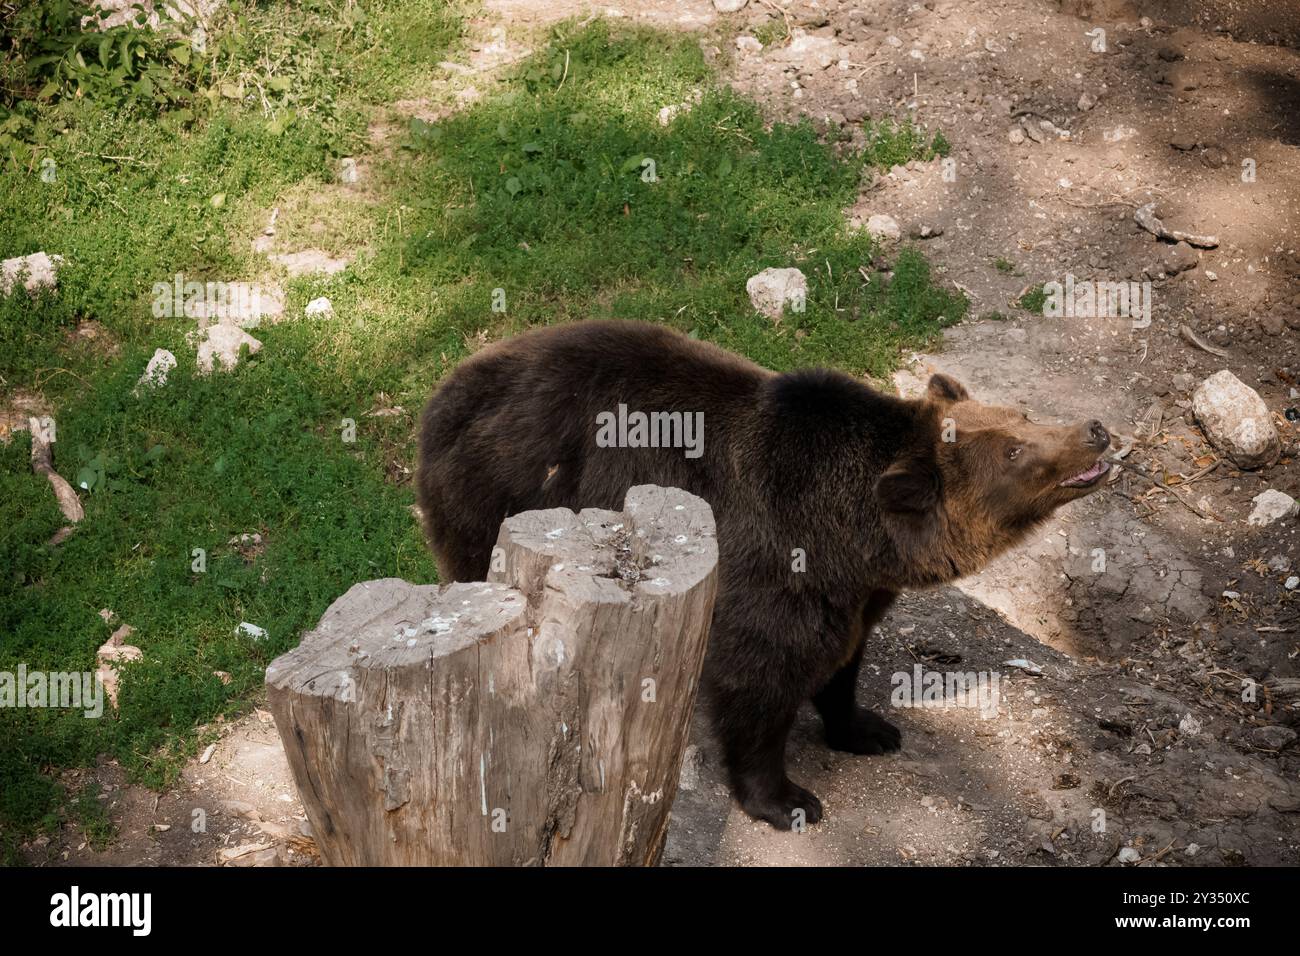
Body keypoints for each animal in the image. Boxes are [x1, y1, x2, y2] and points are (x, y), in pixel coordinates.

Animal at [413, 321, 1107, 832]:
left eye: (1021, 414)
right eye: (1014, 451)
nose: (1094, 430)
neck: (854, 537)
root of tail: (447, 389)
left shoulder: (853, 590)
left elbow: (843, 658)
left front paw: (868, 728)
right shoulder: (773, 559)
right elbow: (759, 679)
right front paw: (788, 798)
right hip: (504, 493)